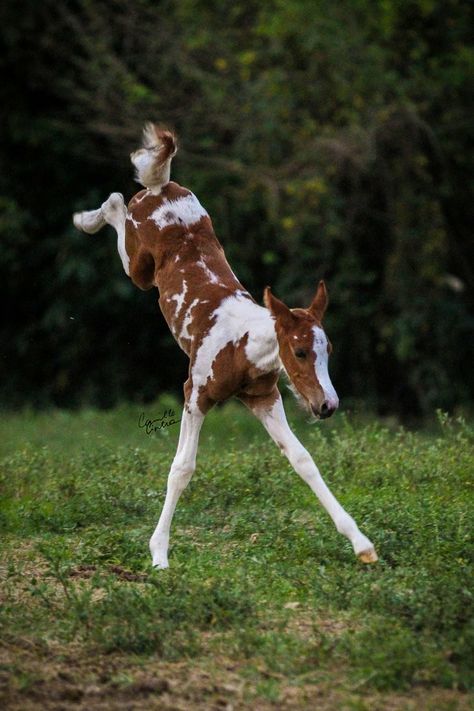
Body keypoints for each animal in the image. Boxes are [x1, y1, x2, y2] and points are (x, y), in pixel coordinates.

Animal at [73, 125, 378, 572]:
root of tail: (164, 187)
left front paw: (362, 545)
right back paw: (85, 220)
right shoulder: (195, 392)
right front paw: (159, 554)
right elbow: (183, 467)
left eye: (330, 351)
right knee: (117, 204)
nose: (328, 405)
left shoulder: (263, 398)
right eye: (300, 352)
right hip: (139, 267)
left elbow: (302, 459)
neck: (243, 346)